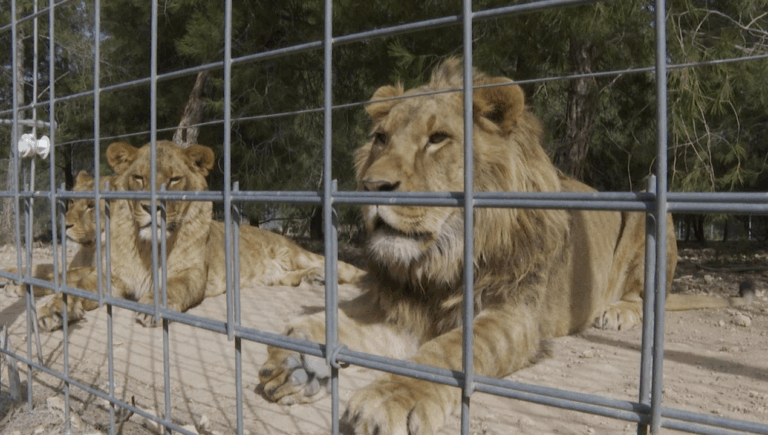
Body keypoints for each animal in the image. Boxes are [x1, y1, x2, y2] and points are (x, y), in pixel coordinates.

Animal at [37, 140, 365, 331]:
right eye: (139, 178)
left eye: (174, 179)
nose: (153, 206)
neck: (146, 247)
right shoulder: (112, 277)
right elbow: (77, 286)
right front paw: (53, 310)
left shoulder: (191, 273)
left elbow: (170, 287)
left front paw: (151, 309)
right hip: (272, 277)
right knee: (292, 277)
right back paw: (314, 279)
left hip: (297, 252)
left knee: (343, 266)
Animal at [258, 59, 754, 434]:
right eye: (381, 139)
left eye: (437, 139)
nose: (371, 186)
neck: (442, 261)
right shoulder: (398, 302)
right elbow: (337, 318)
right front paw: (297, 358)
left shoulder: (512, 313)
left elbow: (447, 351)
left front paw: (391, 397)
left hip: (652, 216)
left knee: (648, 296)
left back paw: (616, 312)